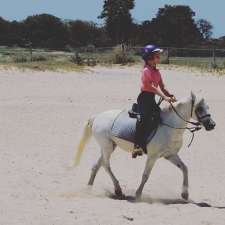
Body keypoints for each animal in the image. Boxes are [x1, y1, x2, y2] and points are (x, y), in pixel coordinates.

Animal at [74, 92, 216, 200]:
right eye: (199, 108)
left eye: (208, 107)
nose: (212, 125)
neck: (170, 127)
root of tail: (97, 116)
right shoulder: (153, 157)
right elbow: (146, 175)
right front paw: (138, 193)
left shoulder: (170, 155)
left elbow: (185, 168)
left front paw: (185, 194)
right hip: (107, 147)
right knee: (106, 166)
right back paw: (118, 189)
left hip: (109, 147)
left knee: (98, 165)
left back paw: (89, 187)